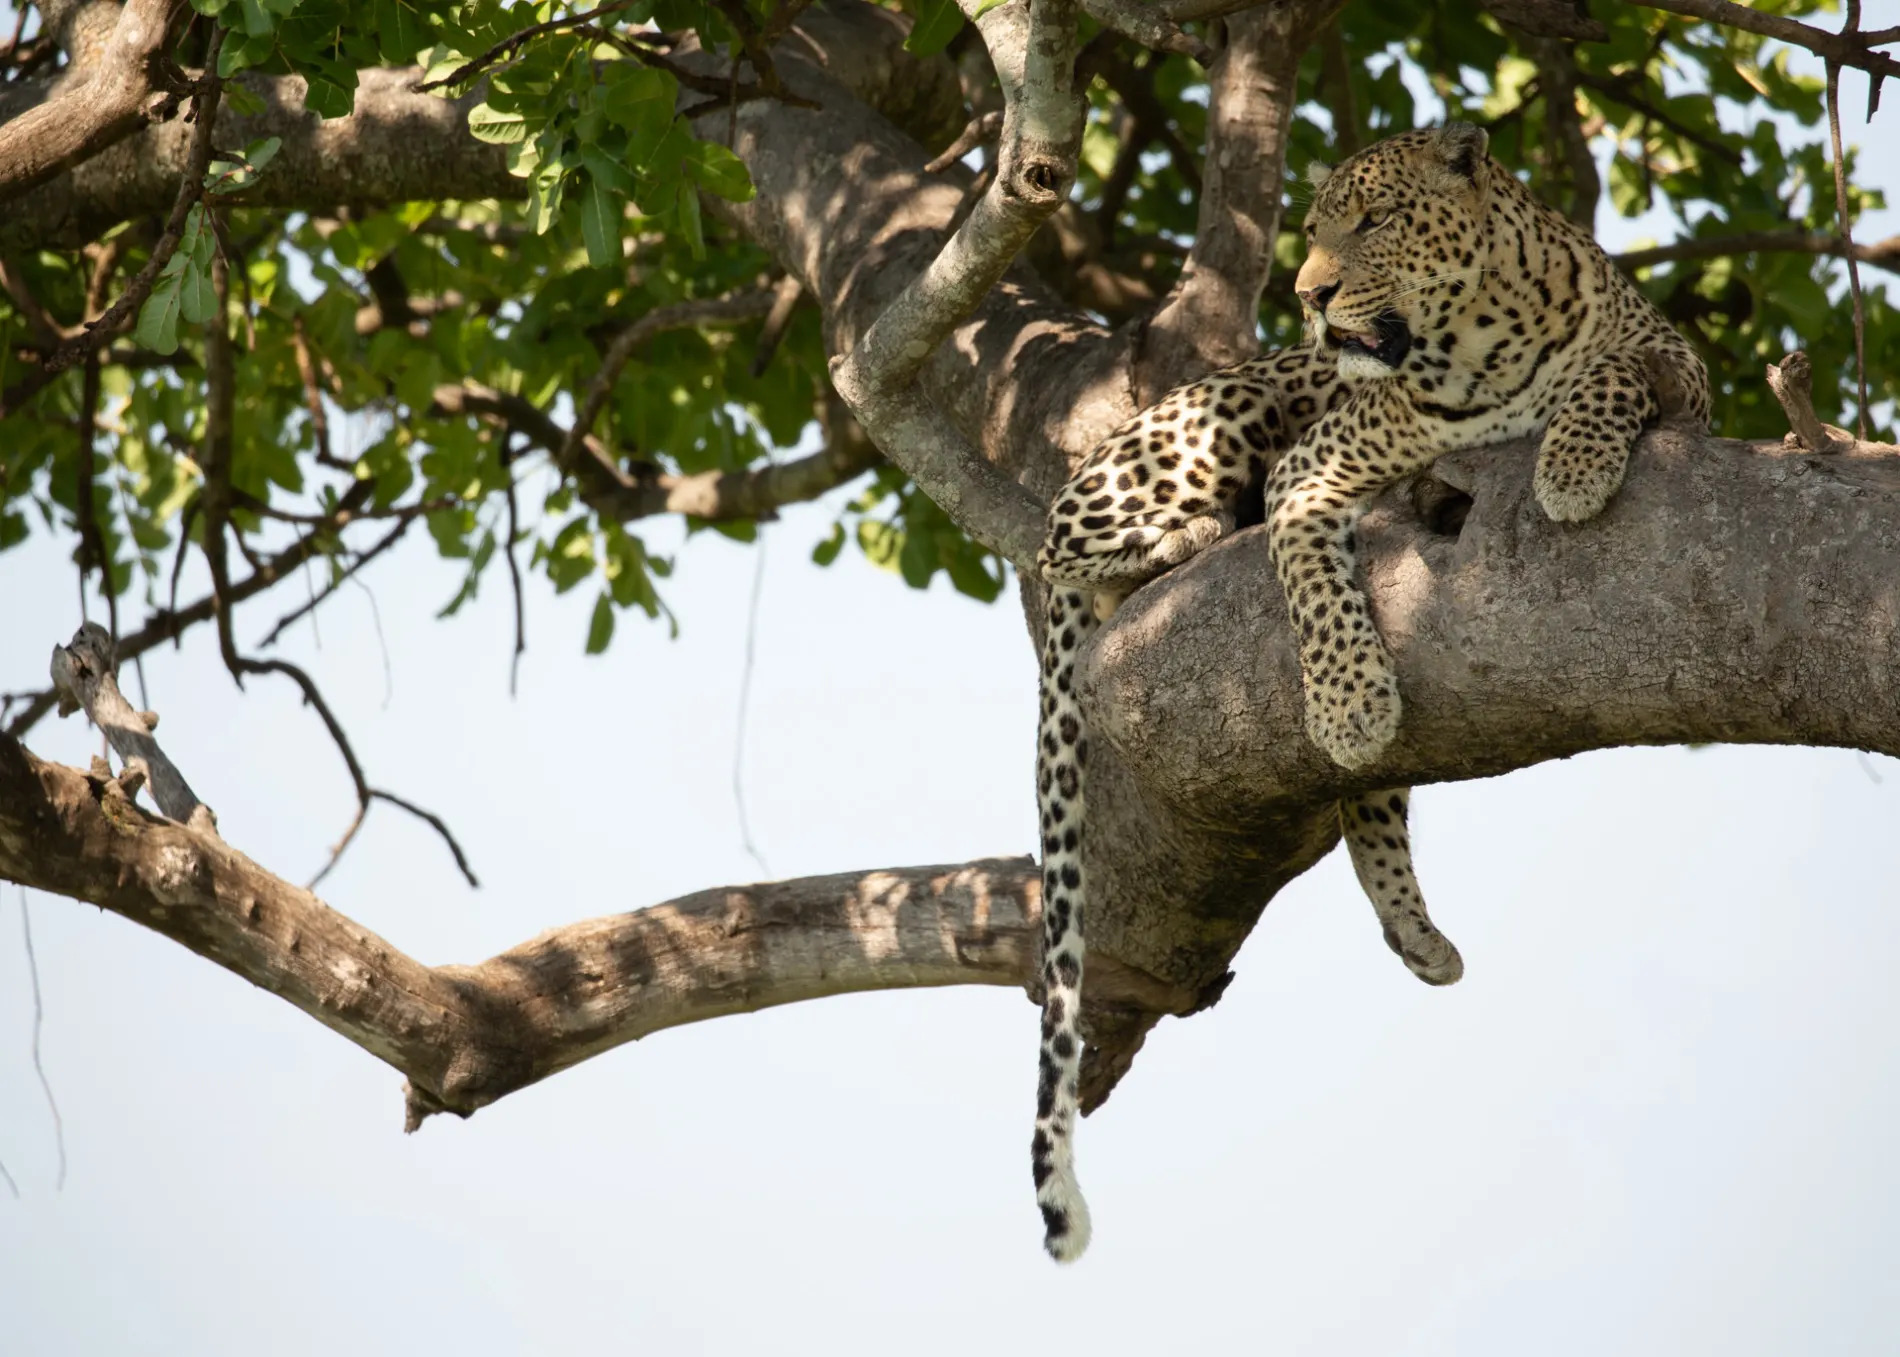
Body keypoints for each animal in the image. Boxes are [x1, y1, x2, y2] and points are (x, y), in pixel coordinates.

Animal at [1033, 118, 1717, 1254]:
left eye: (1373, 220)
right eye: (1312, 228)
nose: (1309, 295)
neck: (1482, 341)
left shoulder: (1684, 375)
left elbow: (1614, 368)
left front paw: (1572, 465)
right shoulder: (1308, 470)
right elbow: (1312, 582)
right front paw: (1348, 700)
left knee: (1376, 810)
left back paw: (1417, 932)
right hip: (1209, 424)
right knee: (1057, 549)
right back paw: (1178, 541)